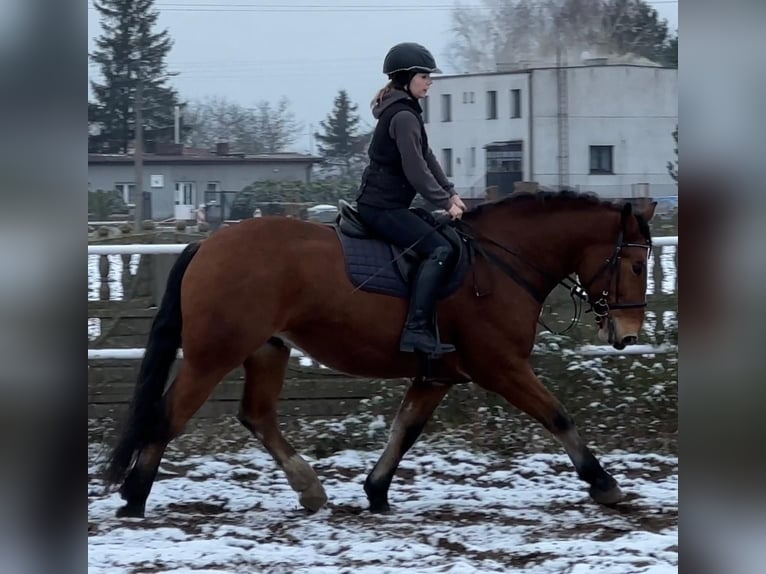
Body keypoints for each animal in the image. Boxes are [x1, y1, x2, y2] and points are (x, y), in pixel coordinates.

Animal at [103, 191, 660, 520]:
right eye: (635, 264)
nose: (628, 334)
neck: (501, 262)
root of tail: (208, 244)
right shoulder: (500, 367)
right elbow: (558, 416)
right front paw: (604, 483)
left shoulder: (438, 376)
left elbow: (405, 429)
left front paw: (375, 490)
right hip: (213, 356)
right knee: (168, 415)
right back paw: (135, 497)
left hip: (266, 350)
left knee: (256, 416)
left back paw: (309, 489)